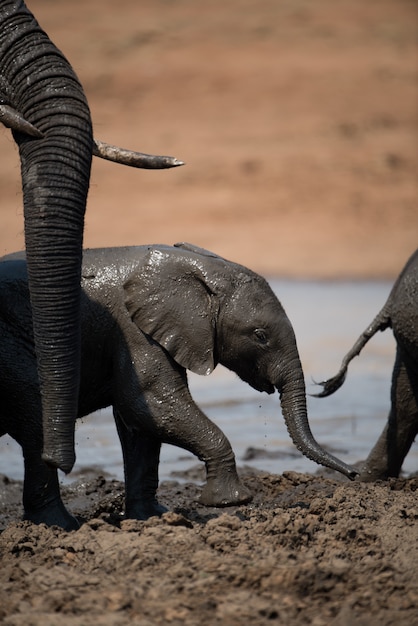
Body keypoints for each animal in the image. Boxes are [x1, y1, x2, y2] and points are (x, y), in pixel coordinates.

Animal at [1, 240, 358, 528]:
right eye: (259, 336)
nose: (354, 475)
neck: (193, 266)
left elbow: (139, 425)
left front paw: (152, 517)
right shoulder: (134, 331)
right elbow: (151, 402)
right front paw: (230, 502)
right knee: (35, 421)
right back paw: (60, 526)